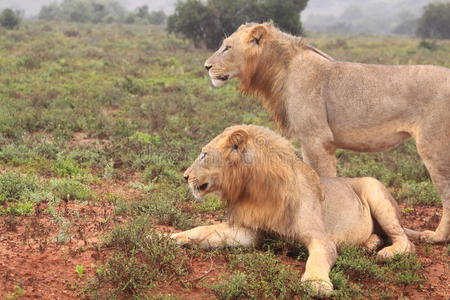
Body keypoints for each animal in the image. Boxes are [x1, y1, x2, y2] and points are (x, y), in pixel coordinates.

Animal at [172, 124, 414, 296]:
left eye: (203, 154)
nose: (185, 176)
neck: (254, 188)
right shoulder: (253, 231)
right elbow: (205, 230)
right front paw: (170, 237)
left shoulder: (319, 237)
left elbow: (318, 257)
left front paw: (316, 283)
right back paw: (369, 244)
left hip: (375, 190)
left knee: (405, 241)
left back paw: (386, 252)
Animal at [203, 21, 450, 244]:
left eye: (227, 47)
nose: (206, 67)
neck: (280, 71)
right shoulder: (320, 143)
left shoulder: (315, 138)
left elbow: (321, 178)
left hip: (433, 146)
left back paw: (436, 237)